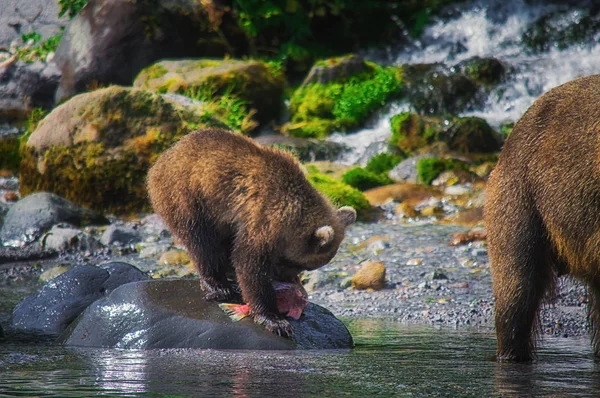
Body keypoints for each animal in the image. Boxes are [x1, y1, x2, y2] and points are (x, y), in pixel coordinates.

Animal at [148, 128, 356, 336]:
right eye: (299, 264)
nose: (286, 278)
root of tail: (164, 157)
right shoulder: (262, 220)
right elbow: (249, 266)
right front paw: (275, 320)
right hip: (189, 197)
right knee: (203, 244)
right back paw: (218, 286)